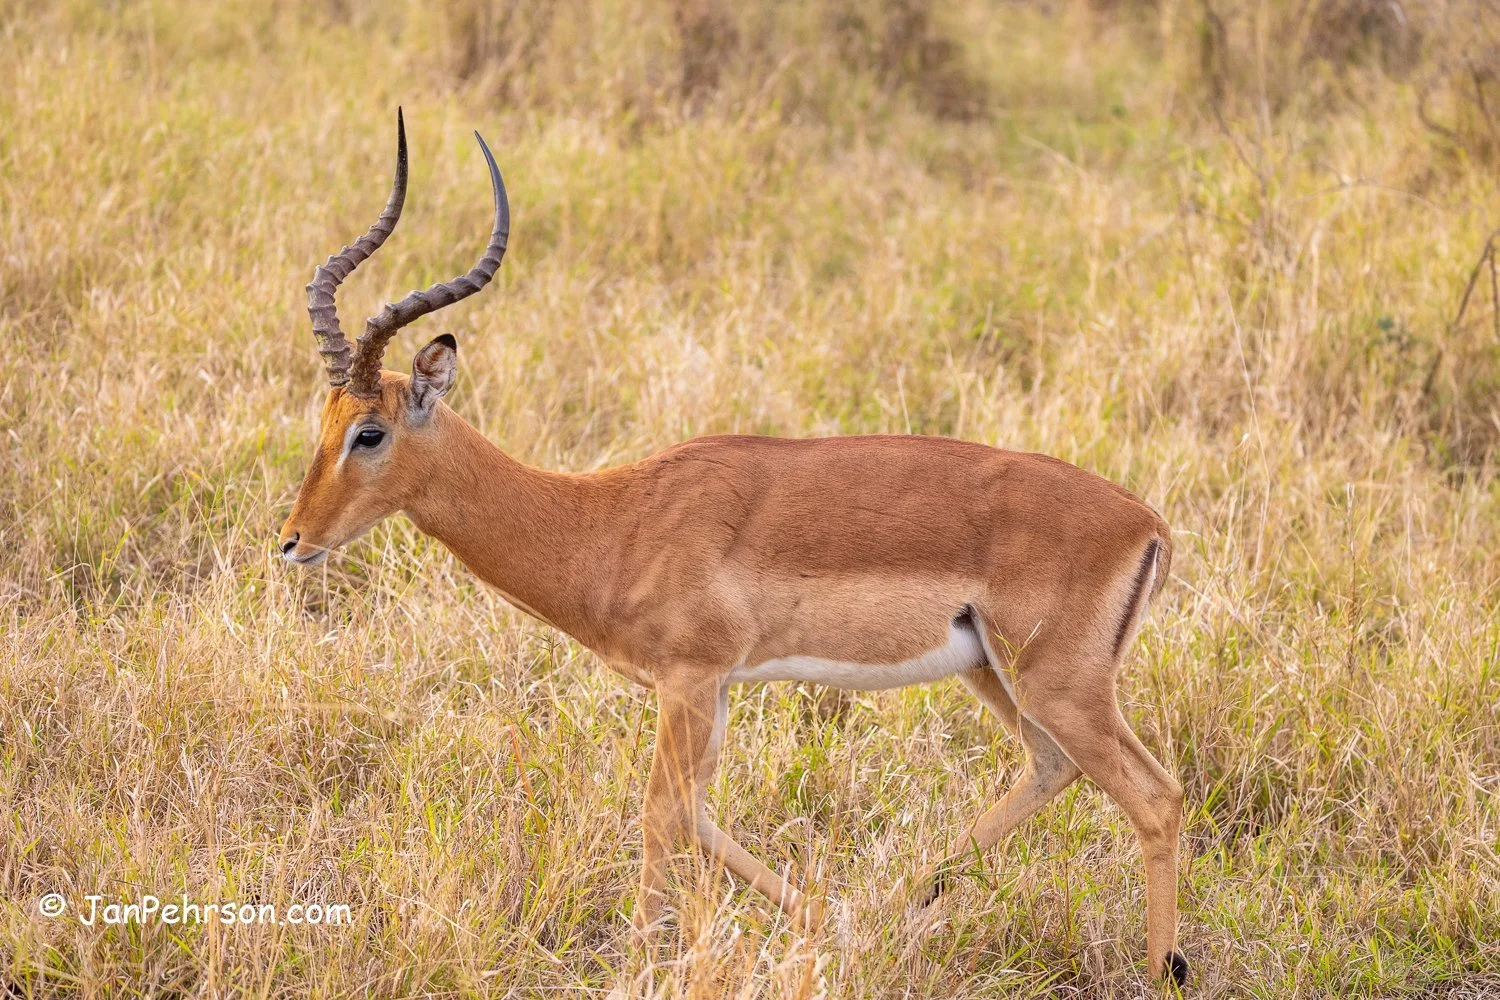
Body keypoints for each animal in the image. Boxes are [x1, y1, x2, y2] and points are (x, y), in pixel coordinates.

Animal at [279, 111, 1188, 986]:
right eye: (323, 421)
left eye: (370, 432)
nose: (292, 543)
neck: (610, 520)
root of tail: (1146, 521)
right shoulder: (710, 687)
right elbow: (699, 814)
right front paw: (819, 921)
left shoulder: (687, 679)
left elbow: (660, 814)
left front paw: (640, 962)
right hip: (996, 674)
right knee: (1053, 767)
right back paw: (891, 907)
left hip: (1057, 683)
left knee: (1157, 795)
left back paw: (1161, 968)